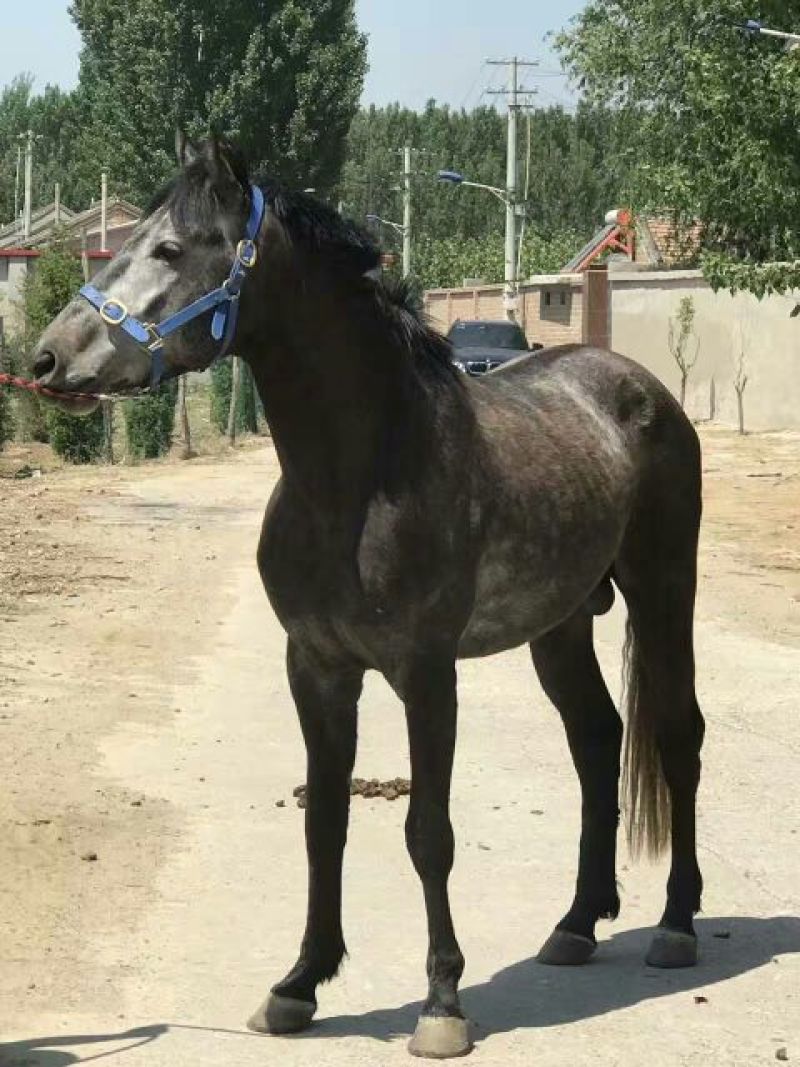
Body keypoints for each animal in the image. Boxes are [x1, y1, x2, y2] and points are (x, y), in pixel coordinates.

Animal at [33, 135, 705, 1060]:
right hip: (561, 626)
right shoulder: (316, 666)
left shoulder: (427, 673)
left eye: (170, 247)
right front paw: (299, 984)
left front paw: (442, 1001)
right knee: (598, 739)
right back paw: (575, 923)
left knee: (678, 738)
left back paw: (676, 924)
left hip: (665, 591)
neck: (359, 478)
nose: (46, 359)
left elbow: (428, 830)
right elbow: (325, 823)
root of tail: (640, 388)